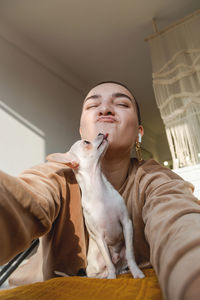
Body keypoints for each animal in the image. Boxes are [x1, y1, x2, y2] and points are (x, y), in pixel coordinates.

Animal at [47, 134, 144, 278]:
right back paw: (108, 275)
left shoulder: (126, 223)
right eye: (86, 142)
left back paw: (124, 270)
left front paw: (136, 271)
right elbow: (109, 262)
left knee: (121, 263)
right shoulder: (99, 237)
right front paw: (112, 278)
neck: (98, 189)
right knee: (102, 271)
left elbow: (130, 254)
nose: (101, 133)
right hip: (96, 265)